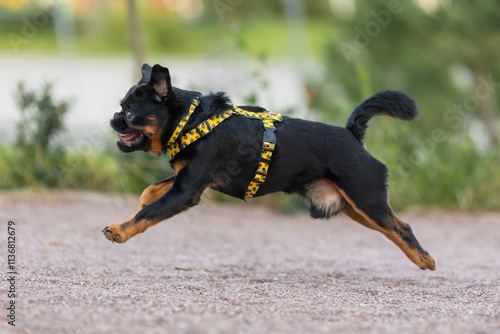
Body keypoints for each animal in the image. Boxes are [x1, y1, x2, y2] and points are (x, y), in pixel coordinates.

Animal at [103, 64, 436, 270]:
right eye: (121, 108)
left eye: (130, 114)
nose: (113, 119)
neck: (192, 120)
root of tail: (353, 135)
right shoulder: (184, 180)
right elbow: (149, 193)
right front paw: (133, 211)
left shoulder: (187, 190)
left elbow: (150, 212)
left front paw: (120, 230)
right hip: (355, 207)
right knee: (396, 227)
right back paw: (420, 259)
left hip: (366, 200)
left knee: (401, 227)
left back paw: (424, 260)